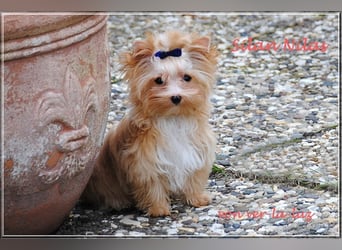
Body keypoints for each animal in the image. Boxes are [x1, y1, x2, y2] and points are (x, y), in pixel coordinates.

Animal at [82, 30, 216, 216]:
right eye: (158, 80)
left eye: (187, 77)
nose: (176, 97)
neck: (173, 118)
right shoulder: (144, 162)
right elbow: (152, 186)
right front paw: (158, 209)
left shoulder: (197, 151)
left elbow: (194, 177)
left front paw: (197, 198)